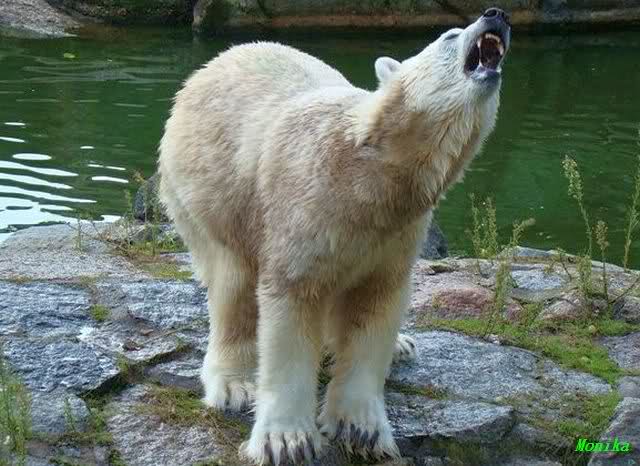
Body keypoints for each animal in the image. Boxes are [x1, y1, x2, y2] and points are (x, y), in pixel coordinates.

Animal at [158, 7, 510, 465]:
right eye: (451, 35)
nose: (497, 14)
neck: (373, 168)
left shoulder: (397, 231)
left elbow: (374, 308)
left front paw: (360, 428)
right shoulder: (305, 201)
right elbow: (292, 301)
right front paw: (286, 440)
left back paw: (400, 346)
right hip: (211, 188)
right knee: (234, 282)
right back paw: (234, 383)